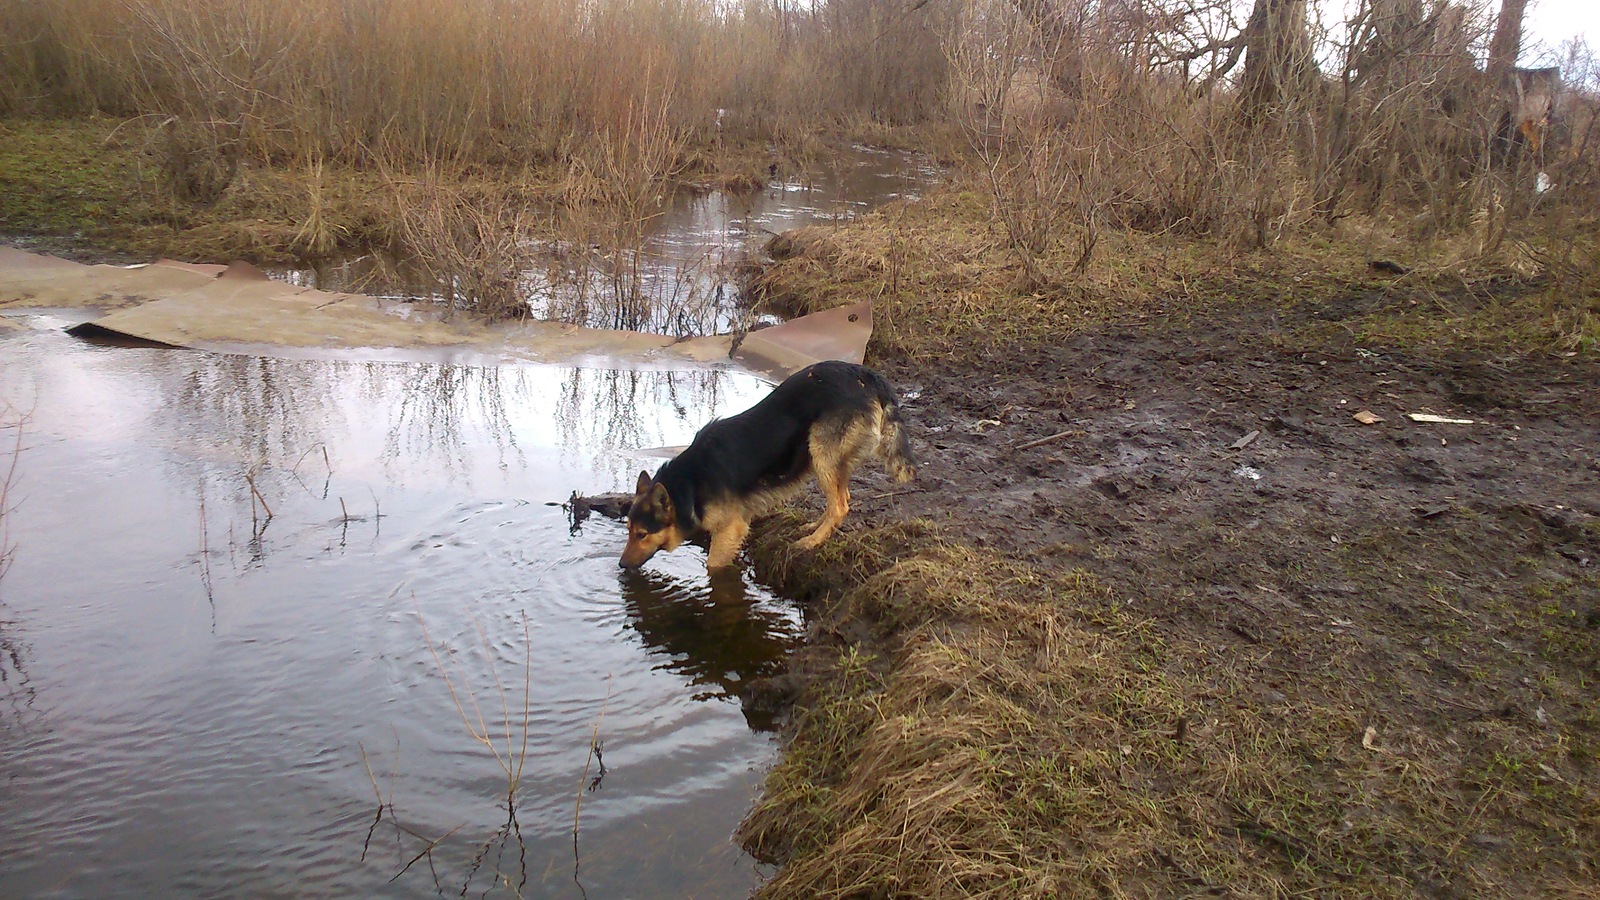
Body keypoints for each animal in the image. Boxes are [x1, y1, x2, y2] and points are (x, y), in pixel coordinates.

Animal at [620, 357, 915, 566]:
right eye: (628, 530)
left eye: (642, 534)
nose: (621, 565)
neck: (690, 481)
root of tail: (867, 375)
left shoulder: (729, 530)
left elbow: (713, 567)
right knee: (840, 500)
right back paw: (816, 527)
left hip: (822, 454)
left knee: (840, 505)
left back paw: (811, 541)